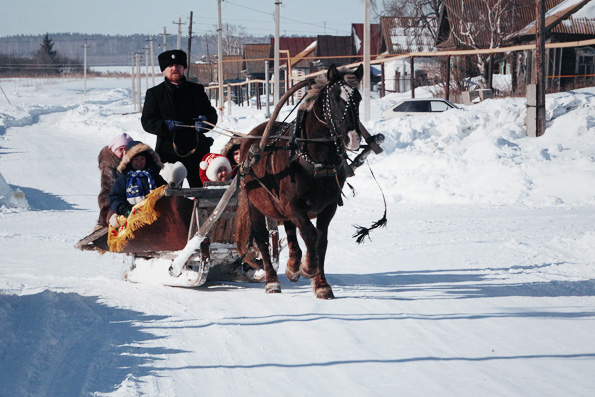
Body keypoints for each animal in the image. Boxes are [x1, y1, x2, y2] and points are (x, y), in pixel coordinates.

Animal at [235, 62, 366, 296]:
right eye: (335, 98)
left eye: (358, 98)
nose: (352, 138)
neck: (316, 161)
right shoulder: (294, 205)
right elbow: (310, 235)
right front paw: (308, 267)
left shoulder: (328, 207)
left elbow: (320, 241)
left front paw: (320, 283)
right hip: (255, 204)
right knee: (262, 239)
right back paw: (272, 280)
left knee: (290, 231)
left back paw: (293, 265)